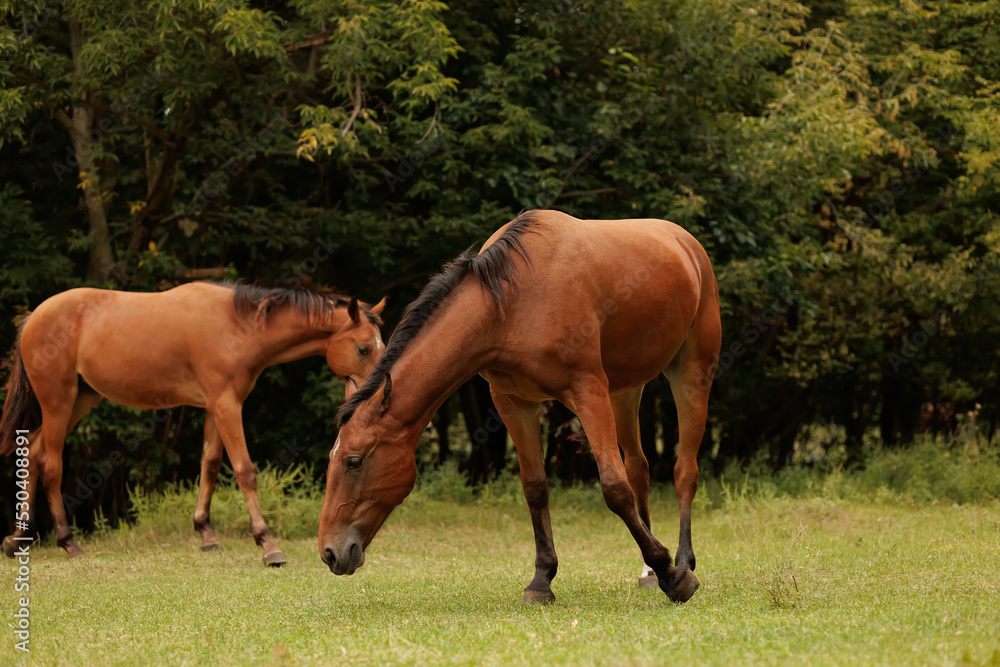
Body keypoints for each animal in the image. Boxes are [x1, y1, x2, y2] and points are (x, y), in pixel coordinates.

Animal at [0, 282, 385, 566]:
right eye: (363, 348)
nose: (379, 388)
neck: (238, 326)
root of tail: (33, 318)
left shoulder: (216, 406)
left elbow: (210, 465)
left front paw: (206, 533)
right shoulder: (227, 406)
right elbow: (245, 471)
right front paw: (268, 545)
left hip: (81, 399)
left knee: (31, 451)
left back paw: (17, 539)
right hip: (58, 402)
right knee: (50, 463)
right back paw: (68, 543)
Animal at [319, 209, 720, 603]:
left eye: (354, 461)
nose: (329, 552)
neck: (508, 305)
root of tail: (686, 243)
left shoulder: (588, 390)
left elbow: (614, 488)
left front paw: (674, 576)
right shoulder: (514, 403)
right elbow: (535, 488)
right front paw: (542, 580)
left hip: (692, 373)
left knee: (684, 470)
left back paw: (681, 561)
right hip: (626, 391)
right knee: (639, 467)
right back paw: (649, 571)